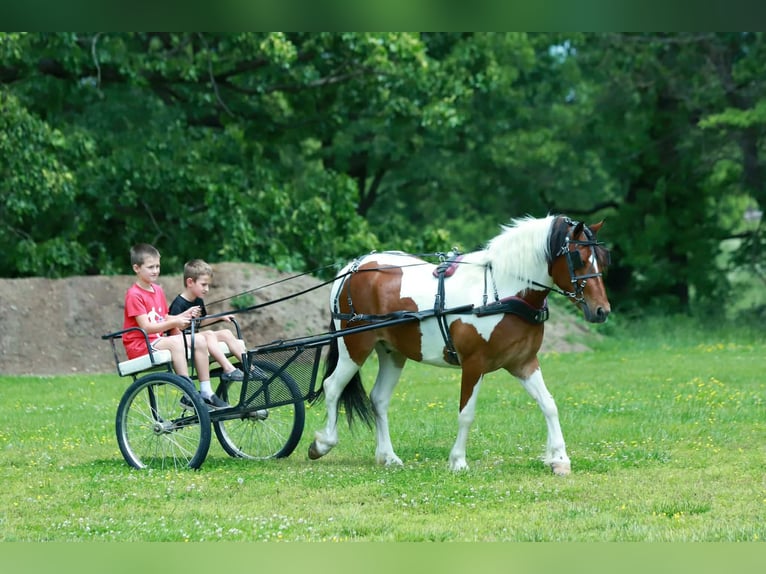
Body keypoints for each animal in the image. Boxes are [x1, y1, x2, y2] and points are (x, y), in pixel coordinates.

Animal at [308, 214, 611, 475]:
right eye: (579, 258)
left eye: (602, 260)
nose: (601, 311)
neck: (502, 291)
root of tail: (352, 268)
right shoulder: (474, 364)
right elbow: (467, 413)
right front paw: (458, 461)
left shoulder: (523, 363)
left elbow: (548, 404)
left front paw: (559, 459)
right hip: (354, 346)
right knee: (332, 387)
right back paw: (322, 444)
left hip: (392, 353)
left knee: (379, 398)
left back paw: (388, 457)